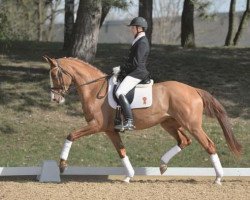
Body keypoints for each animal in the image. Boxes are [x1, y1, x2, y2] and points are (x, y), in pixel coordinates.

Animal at [45, 55, 242, 184]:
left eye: (55, 75)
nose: (55, 99)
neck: (94, 90)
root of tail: (193, 89)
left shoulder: (96, 125)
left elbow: (71, 135)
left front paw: (62, 165)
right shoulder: (110, 130)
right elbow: (121, 151)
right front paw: (128, 176)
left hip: (192, 125)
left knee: (208, 145)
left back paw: (218, 178)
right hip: (169, 123)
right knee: (184, 140)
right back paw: (162, 165)